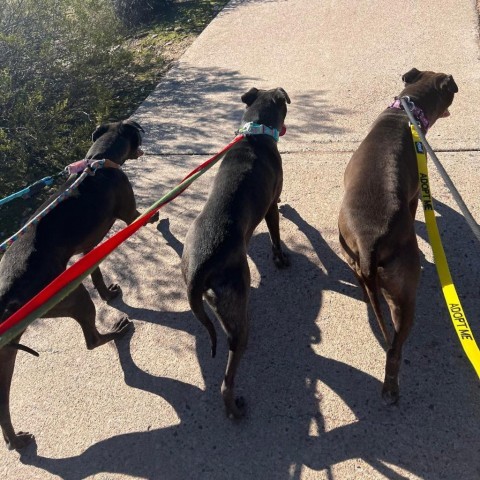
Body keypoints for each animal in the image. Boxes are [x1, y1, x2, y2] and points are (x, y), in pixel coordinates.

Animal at [0, 120, 158, 450]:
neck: (99, 159)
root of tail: (6, 295)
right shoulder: (129, 214)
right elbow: (146, 215)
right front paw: (161, 218)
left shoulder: (90, 249)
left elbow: (96, 273)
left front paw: (108, 293)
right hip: (71, 296)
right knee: (92, 340)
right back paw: (118, 331)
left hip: (7, 350)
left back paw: (15, 441)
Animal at [182, 88, 290, 418]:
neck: (254, 134)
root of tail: (200, 268)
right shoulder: (271, 204)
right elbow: (276, 236)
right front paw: (281, 259)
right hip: (235, 302)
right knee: (227, 380)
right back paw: (235, 409)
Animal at [338, 67, 458, 404]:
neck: (407, 111)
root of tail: (369, 244)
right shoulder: (416, 192)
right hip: (404, 297)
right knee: (394, 349)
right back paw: (391, 388)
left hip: (352, 258)